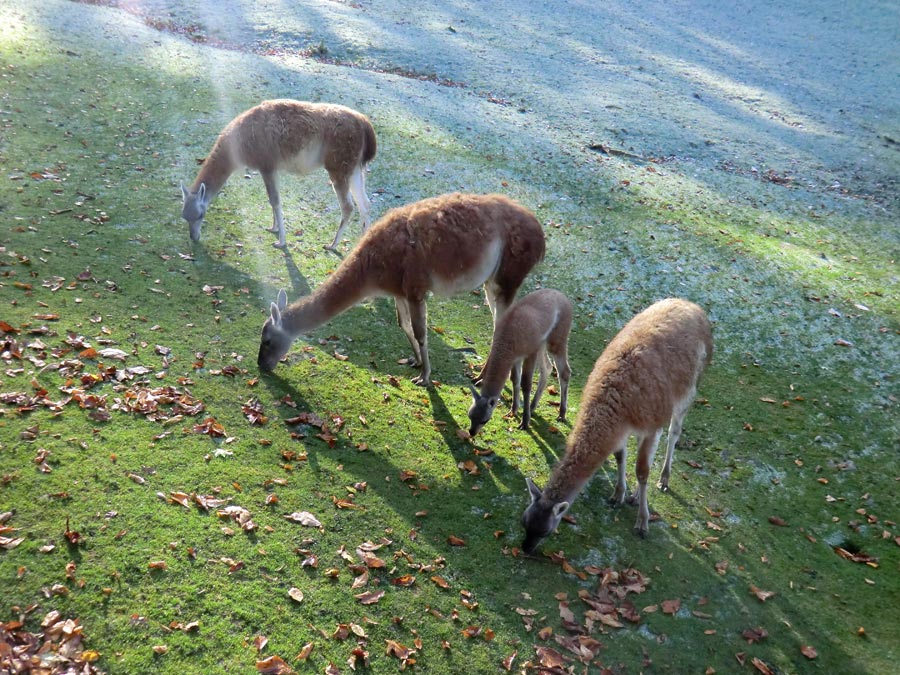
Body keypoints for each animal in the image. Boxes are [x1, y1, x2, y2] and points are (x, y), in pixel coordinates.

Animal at [179, 99, 376, 250]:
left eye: (200, 215)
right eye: (184, 216)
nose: (193, 237)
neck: (238, 145)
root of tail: (364, 123)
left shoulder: (266, 165)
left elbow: (275, 200)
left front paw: (281, 242)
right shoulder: (271, 168)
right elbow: (272, 200)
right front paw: (273, 228)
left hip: (338, 167)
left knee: (348, 207)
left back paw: (332, 245)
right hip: (354, 169)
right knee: (365, 204)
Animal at [256, 193, 544, 388]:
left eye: (267, 340)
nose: (261, 365)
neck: (373, 268)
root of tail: (540, 236)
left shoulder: (416, 288)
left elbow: (420, 333)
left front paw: (424, 377)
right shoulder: (399, 291)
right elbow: (403, 325)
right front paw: (416, 362)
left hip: (508, 277)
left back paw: (485, 378)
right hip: (491, 282)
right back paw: (486, 376)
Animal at [468, 288, 572, 436]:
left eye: (484, 420)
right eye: (470, 416)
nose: (471, 432)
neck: (509, 336)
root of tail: (562, 296)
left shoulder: (530, 353)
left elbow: (526, 384)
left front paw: (524, 422)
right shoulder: (515, 357)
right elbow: (515, 379)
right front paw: (513, 411)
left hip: (556, 339)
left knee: (564, 372)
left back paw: (561, 414)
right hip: (542, 344)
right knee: (547, 367)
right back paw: (533, 406)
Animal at [520, 298, 712, 552]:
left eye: (545, 531)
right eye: (524, 521)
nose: (525, 548)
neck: (617, 404)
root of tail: (692, 306)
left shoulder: (649, 425)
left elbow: (642, 471)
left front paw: (642, 523)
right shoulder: (623, 428)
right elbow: (620, 456)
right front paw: (618, 495)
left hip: (688, 392)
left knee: (674, 432)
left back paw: (664, 479)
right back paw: (636, 494)